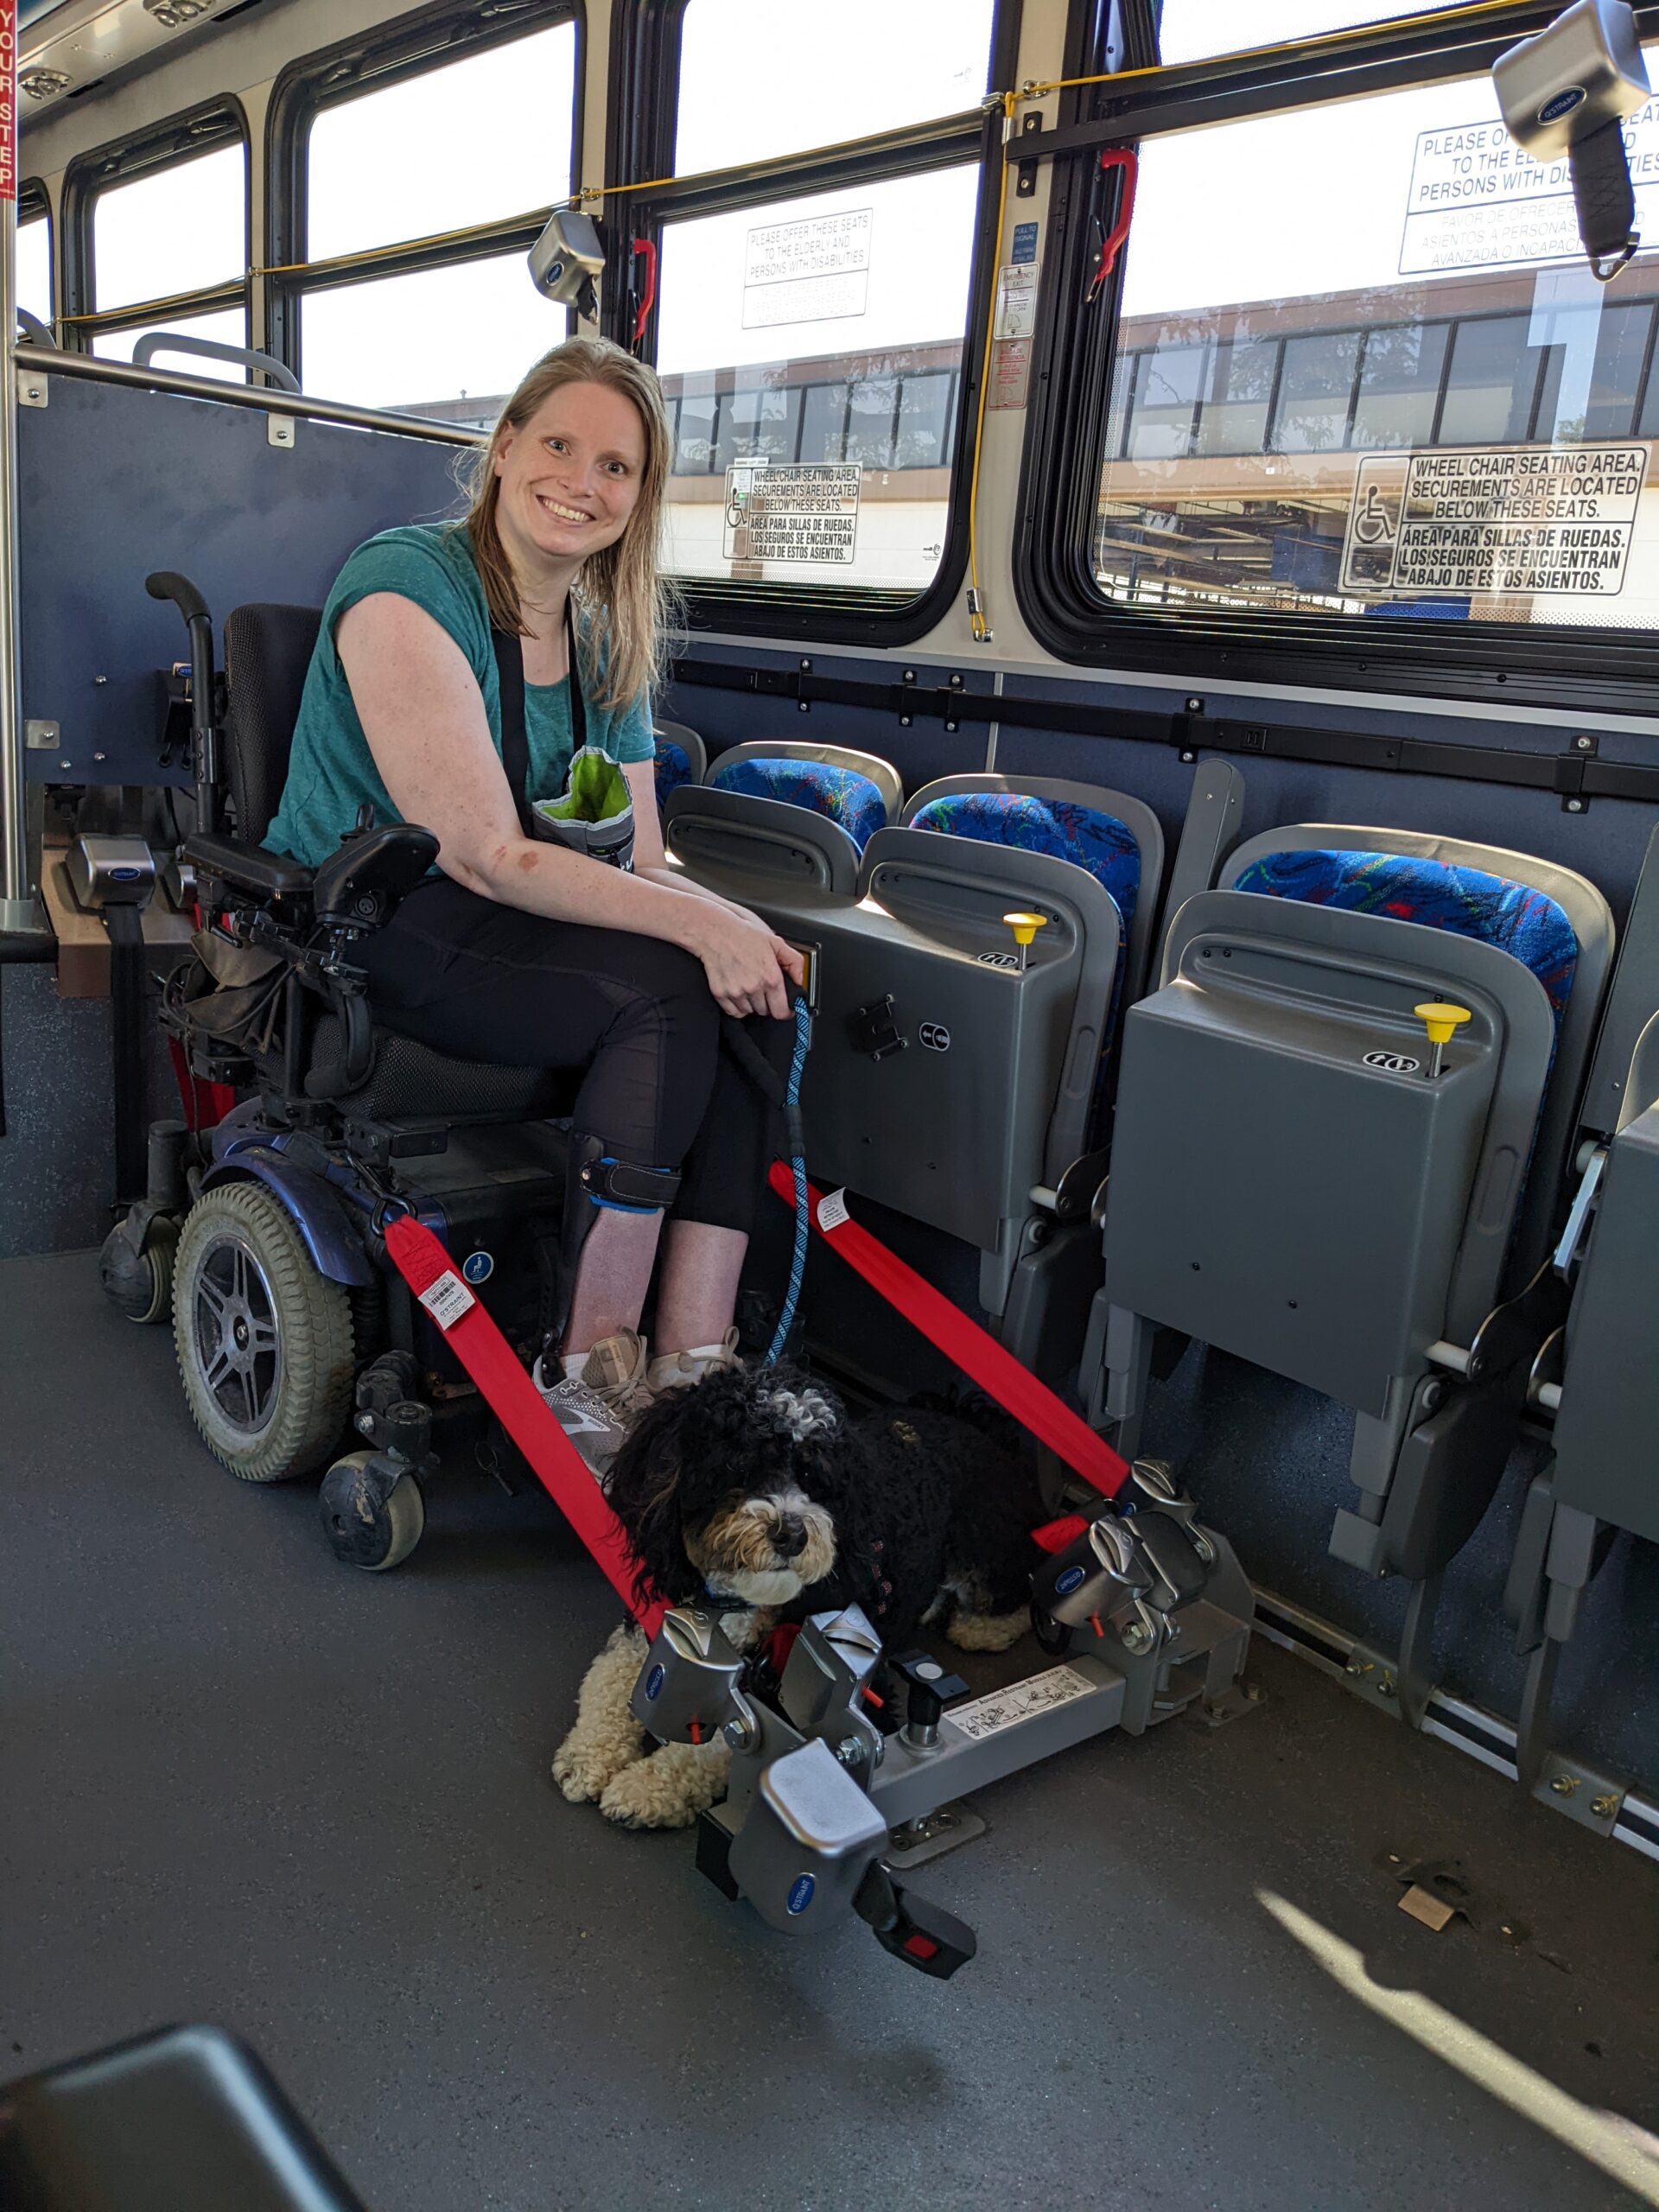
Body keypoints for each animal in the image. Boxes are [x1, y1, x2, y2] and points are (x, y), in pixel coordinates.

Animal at [559, 1371, 1052, 1822]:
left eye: (814, 1476)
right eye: (740, 1465)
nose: (792, 1533)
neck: (741, 1604)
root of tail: (973, 1423)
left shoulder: (860, 1703)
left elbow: (732, 1742)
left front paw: (642, 1787)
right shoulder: (651, 1627)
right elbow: (607, 1681)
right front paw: (586, 1757)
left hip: (986, 1539)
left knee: (1018, 1588)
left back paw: (981, 1627)